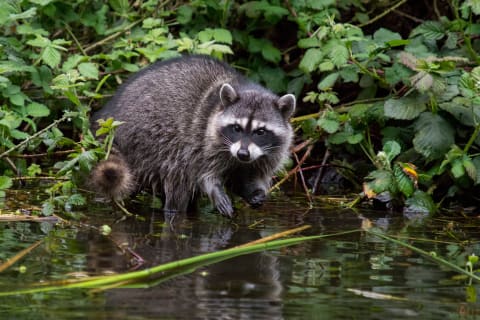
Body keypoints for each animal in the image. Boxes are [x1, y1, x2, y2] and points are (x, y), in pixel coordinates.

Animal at [89, 56, 292, 219]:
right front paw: (215, 190)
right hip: (148, 140)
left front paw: (254, 192)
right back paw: (174, 211)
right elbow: (204, 173)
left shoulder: (266, 154)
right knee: (178, 176)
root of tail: (110, 114)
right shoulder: (202, 139)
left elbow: (249, 176)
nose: (243, 154)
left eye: (260, 132)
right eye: (236, 128)